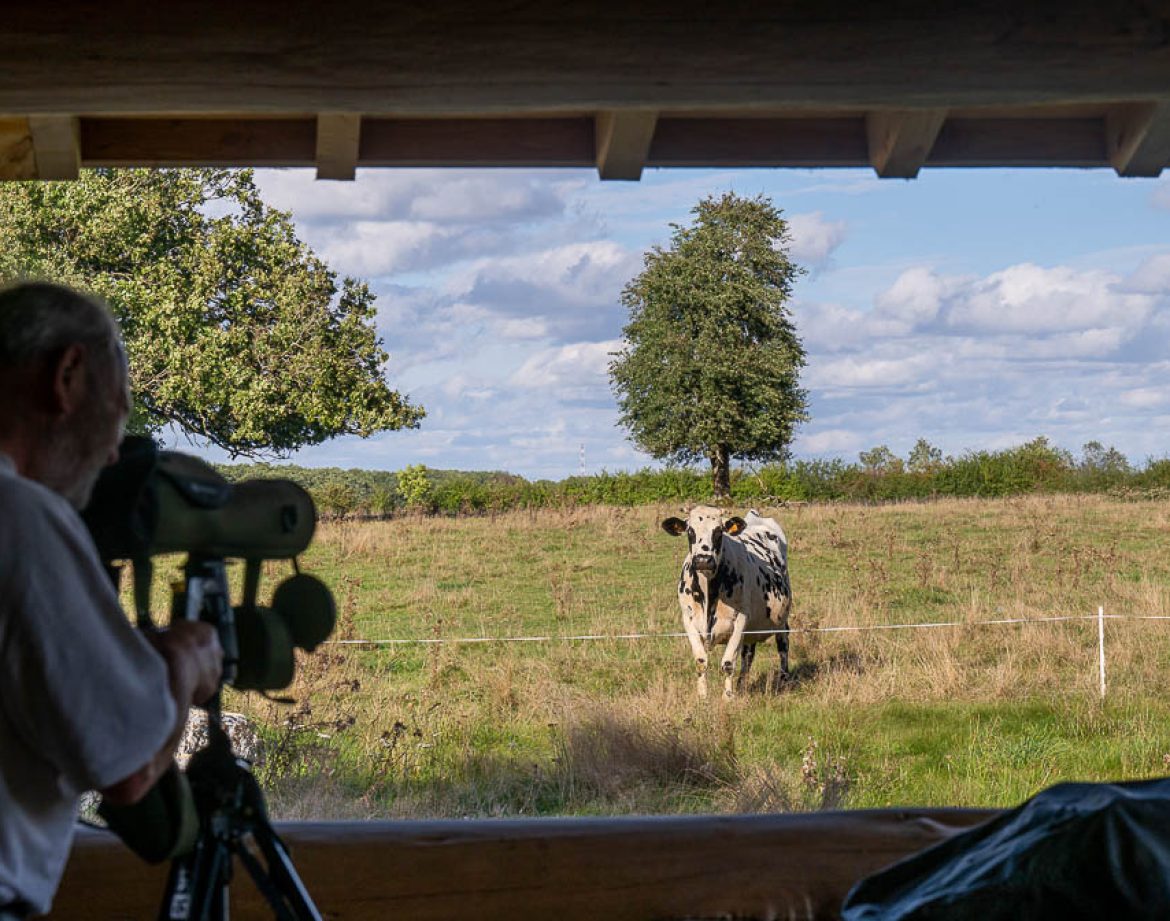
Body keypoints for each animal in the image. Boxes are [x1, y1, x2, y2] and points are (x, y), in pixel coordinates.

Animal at [662, 505, 792, 699]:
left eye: (718, 531)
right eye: (690, 531)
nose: (703, 560)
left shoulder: (740, 620)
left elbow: (728, 662)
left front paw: (728, 697)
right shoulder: (688, 620)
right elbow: (701, 660)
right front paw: (702, 696)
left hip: (781, 618)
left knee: (782, 645)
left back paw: (783, 680)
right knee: (748, 654)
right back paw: (742, 685)